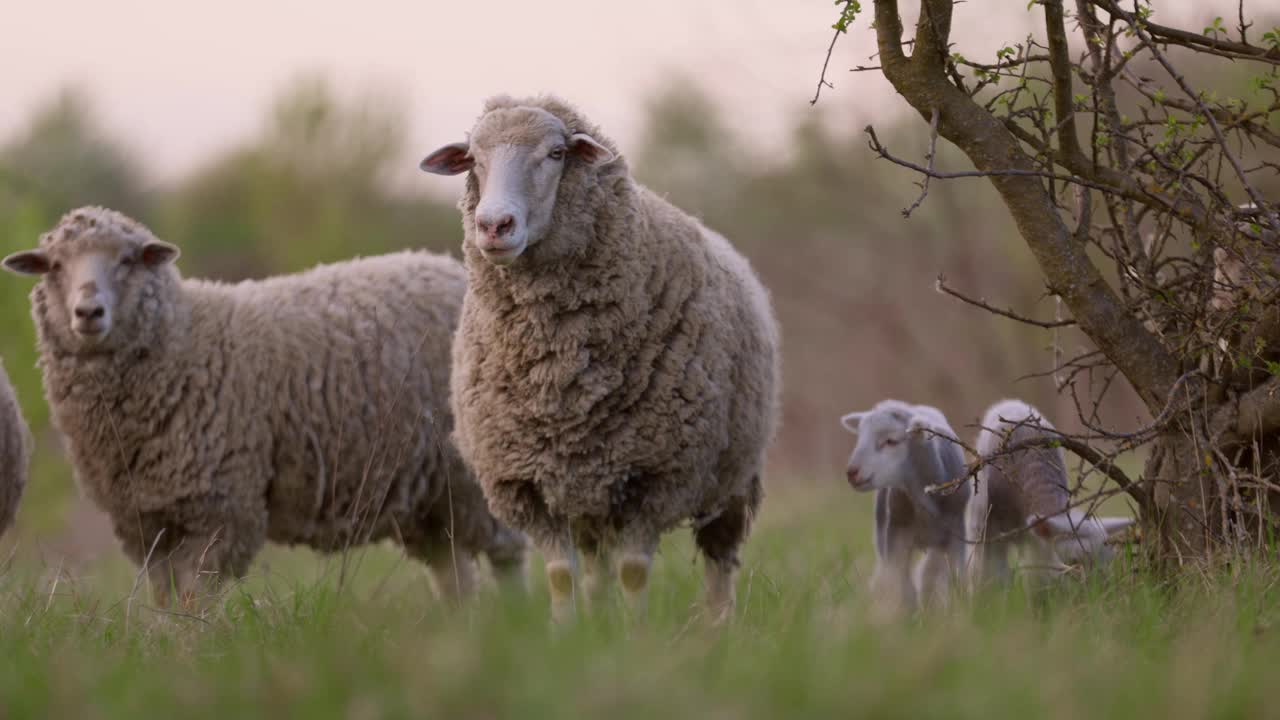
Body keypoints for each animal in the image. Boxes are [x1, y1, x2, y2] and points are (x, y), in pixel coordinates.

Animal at [2, 206, 524, 604]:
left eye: (128, 260)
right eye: (53, 265)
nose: (88, 312)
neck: (184, 341)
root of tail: (448, 267)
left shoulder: (223, 508)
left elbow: (194, 598)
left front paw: (191, 654)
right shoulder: (145, 520)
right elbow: (166, 598)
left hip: (475, 470)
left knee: (507, 552)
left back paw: (517, 622)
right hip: (428, 494)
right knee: (453, 570)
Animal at [419, 94, 778, 622]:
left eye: (555, 154)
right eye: (473, 159)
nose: (493, 225)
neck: (557, 373)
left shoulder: (655, 477)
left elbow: (633, 572)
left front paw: (636, 634)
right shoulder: (528, 483)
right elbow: (560, 576)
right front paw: (567, 634)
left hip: (729, 478)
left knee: (719, 559)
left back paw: (718, 626)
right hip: (588, 493)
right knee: (595, 570)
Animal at [839, 397, 967, 617]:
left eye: (891, 441)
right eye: (860, 438)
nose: (852, 473)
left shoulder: (956, 536)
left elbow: (951, 579)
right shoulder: (896, 533)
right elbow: (900, 583)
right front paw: (906, 615)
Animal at [962, 394, 1136, 591]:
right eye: (1074, 561)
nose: (1098, 590)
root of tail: (1012, 403)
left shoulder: (1037, 543)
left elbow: (1038, 573)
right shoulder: (992, 529)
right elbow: (992, 572)